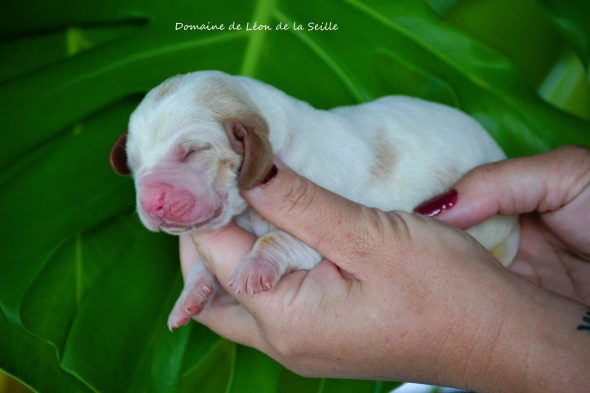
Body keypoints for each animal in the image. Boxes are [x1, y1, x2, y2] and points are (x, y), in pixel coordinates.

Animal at [108, 69, 520, 328]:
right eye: (133, 163)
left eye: (195, 150)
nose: (152, 204)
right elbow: (201, 269)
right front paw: (192, 294)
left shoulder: (322, 235)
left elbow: (277, 240)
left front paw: (255, 267)